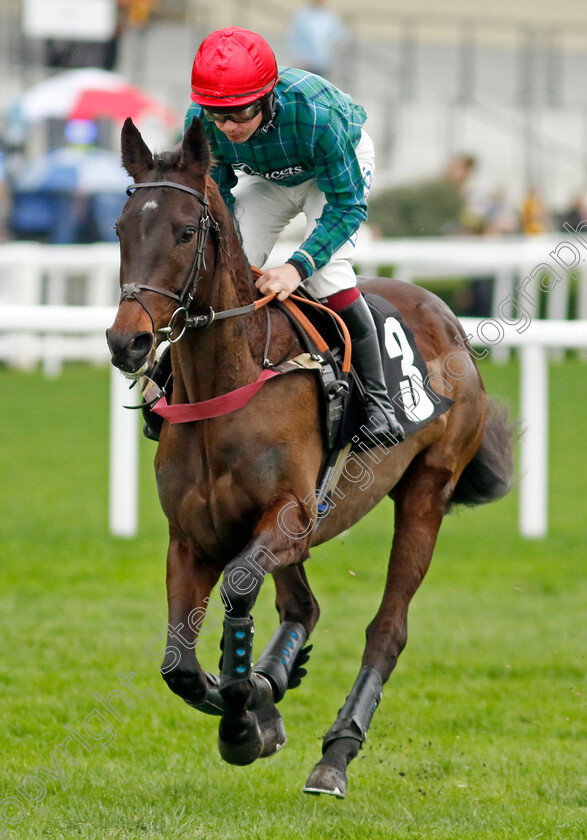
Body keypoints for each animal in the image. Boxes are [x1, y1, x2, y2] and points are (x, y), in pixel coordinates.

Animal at [107, 116, 516, 796]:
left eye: (186, 232)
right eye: (119, 227)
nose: (127, 341)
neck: (230, 382)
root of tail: (445, 312)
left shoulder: (289, 516)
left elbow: (238, 591)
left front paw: (244, 715)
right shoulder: (193, 535)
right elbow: (178, 666)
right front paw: (253, 702)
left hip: (426, 491)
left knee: (388, 629)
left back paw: (336, 752)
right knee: (303, 604)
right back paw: (276, 678)